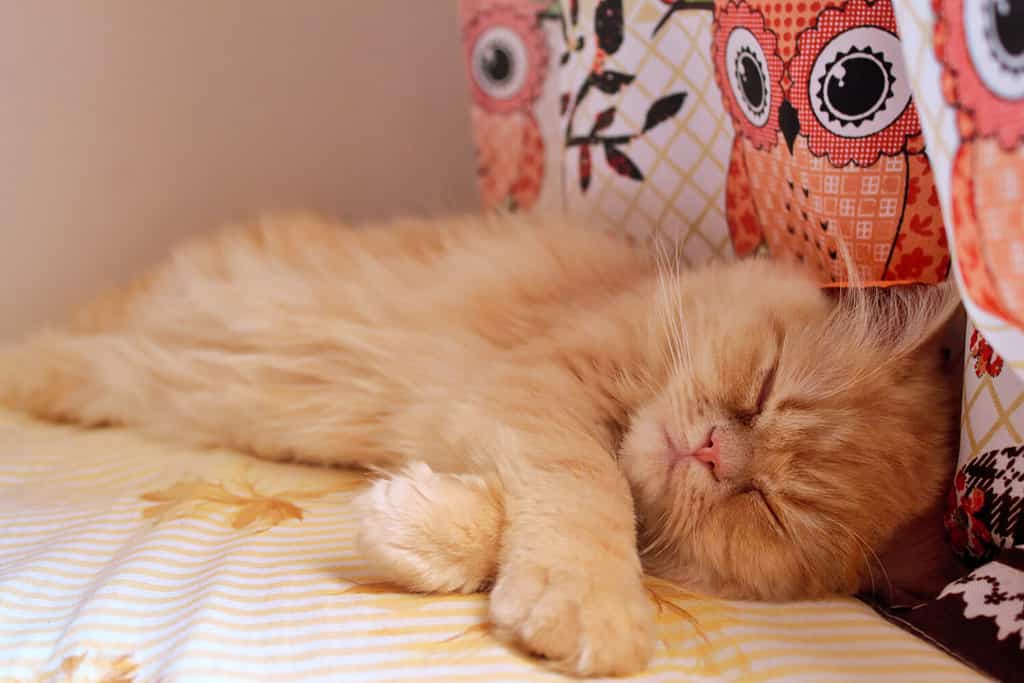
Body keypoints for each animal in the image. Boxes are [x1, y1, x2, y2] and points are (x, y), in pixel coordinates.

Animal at [0, 214, 958, 679]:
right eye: (763, 387)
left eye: (767, 510)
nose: (716, 454)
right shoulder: (540, 390)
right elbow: (589, 496)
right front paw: (593, 607)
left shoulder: (484, 417)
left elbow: (504, 520)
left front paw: (411, 528)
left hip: (123, 372)